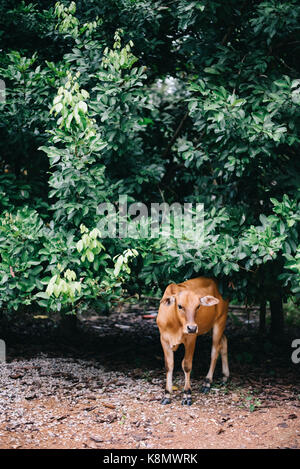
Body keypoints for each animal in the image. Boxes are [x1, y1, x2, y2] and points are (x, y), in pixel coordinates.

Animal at [156, 276, 229, 404]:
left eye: (198, 306)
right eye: (180, 306)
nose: (192, 328)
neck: (175, 323)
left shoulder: (191, 339)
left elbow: (186, 365)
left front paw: (187, 394)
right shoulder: (164, 339)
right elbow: (169, 365)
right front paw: (167, 395)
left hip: (220, 321)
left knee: (215, 352)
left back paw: (207, 382)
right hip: (209, 326)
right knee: (224, 341)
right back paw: (225, 376)